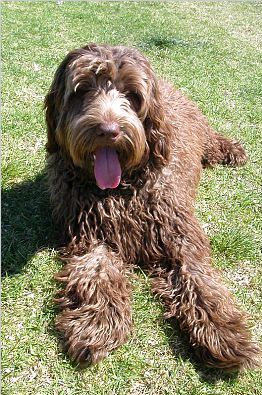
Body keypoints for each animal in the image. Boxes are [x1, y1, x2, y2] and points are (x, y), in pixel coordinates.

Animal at [45, 44, 260, 372]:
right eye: (82, 90)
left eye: (132, 94)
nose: (109, 130)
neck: (120, 190)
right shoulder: (90, 234)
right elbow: (97, 270)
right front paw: (97, 322)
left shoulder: (180, 233)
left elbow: (200, 277)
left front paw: (223, 331)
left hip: (204, 135)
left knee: (214, 141)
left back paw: (232, 150)